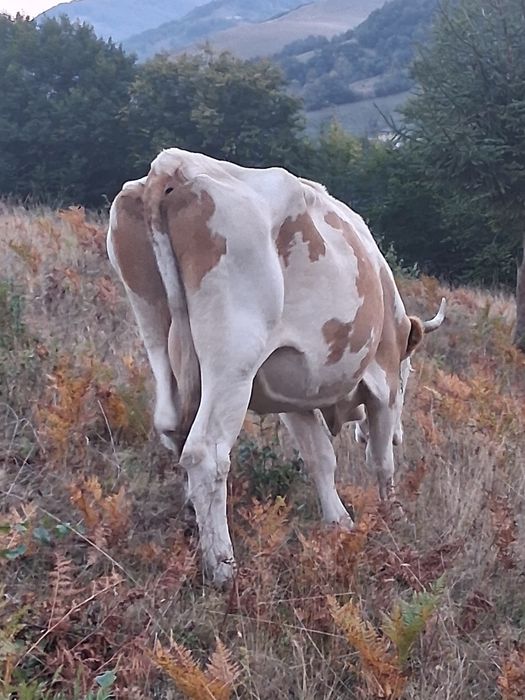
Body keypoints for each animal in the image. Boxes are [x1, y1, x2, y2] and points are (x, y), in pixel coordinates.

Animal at [107, 148, 445, 585]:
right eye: (408, 374)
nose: (403, 435)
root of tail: (173, 165)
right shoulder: (382, 383)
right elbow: (381, 460)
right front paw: (392, 517)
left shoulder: (292, 396)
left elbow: (321, 458)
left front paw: (339, 523)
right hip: (233, 356)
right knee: (205, 452)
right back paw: (224, 570)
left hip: (155, 329)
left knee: (173, 430)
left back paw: (194, 528)